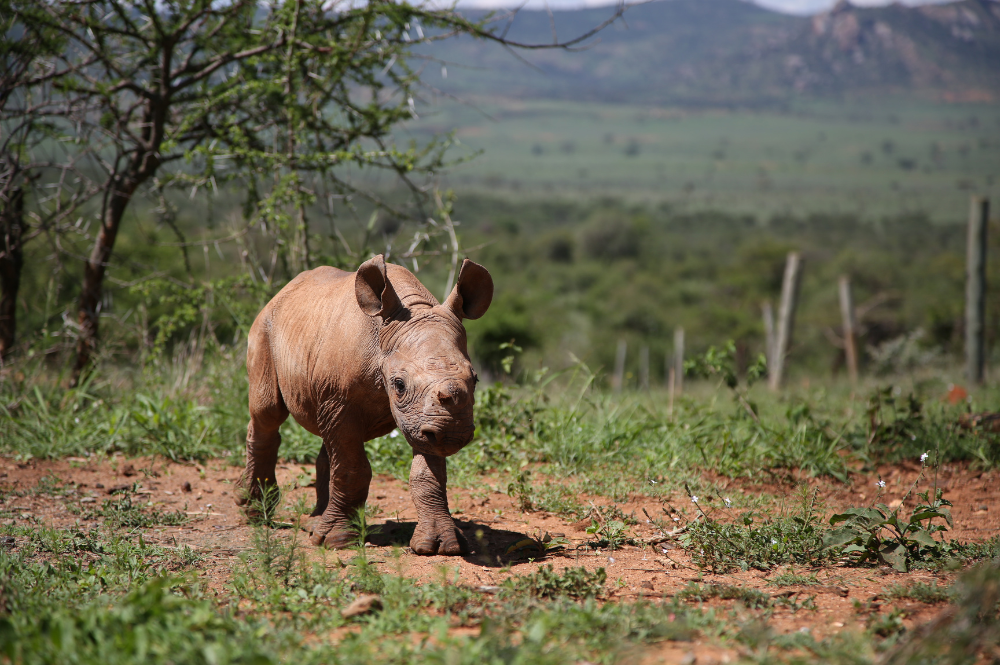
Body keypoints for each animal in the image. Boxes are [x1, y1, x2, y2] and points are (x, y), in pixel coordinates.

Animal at [235, 255, 492, 556]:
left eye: (475, 379)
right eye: (399, 385)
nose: (453, 433)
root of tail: (281, 292)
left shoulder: (422, 419)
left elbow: (427, 473)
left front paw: (442, 545)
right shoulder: (342, 400)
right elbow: (352, 466)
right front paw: (336, 541)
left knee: (328, 440)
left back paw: (315, 521)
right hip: (264, 328)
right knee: (268, 413)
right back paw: (256, 512)